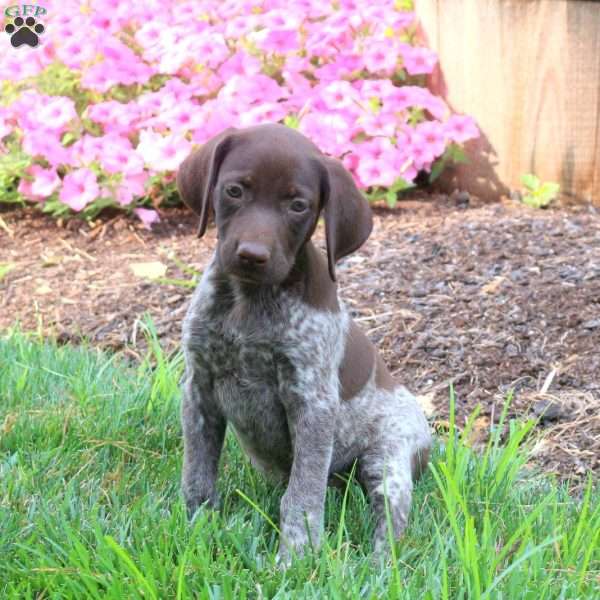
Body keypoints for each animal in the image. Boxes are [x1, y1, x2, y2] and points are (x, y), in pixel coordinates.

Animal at [177, 122, 432, 564]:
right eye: (234, 191)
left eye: (298, 205)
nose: (252, 255)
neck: (250, 302)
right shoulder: (199, 390)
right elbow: (198, 474)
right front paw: (197, 528)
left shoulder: (312, 402)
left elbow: (301, 498)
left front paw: (295, 557)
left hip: (389, 459)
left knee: (390, 521)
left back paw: (377, 567)